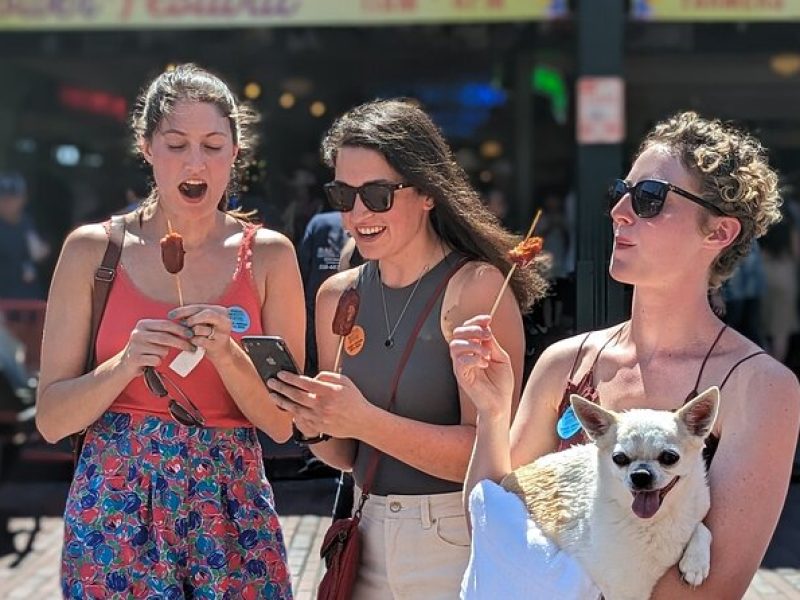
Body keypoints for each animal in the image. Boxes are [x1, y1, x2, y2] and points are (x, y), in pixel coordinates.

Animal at [500, 386, 720, 596]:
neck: (655, 520)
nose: (640, 474)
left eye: (669, 457)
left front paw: (696, 562)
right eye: (619, 458)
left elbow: (702, 527)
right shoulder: (626, 589)